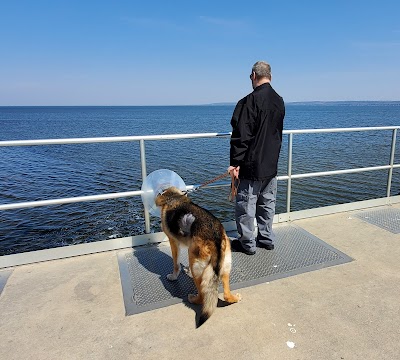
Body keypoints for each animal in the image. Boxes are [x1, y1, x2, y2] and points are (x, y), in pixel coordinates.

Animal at [155, 187, 241, 328]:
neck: (173, 197)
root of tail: (216, 237)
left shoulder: (174, 242)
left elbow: (176, 264)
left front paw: (173, 276)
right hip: (225, 267)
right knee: (226, 295)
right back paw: (235, 298)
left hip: (196, 265)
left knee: (201, 296)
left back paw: (193, 299)